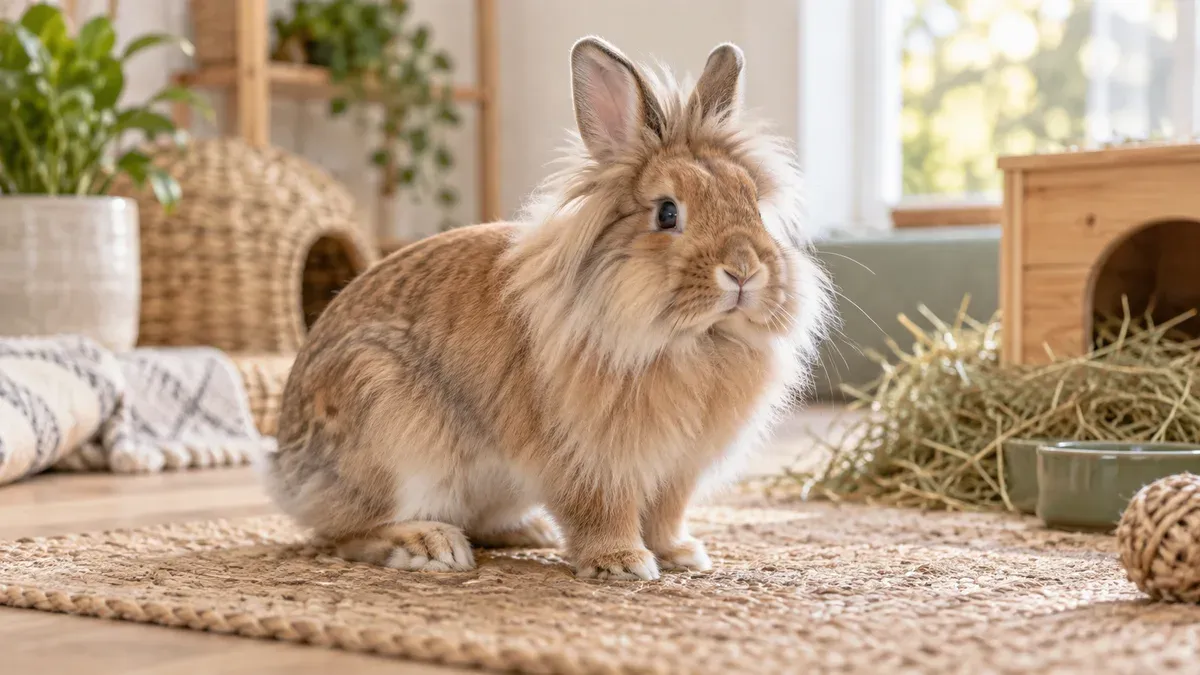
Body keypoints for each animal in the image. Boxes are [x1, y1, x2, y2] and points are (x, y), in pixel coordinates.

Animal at [262, 36, 833, 581]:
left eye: (750, 200)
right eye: (668, 213)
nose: (744, 271)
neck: (688, 339)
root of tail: (287, 472)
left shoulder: (676, 470)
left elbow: (666, 514)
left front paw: (680, 555)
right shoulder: (591, 460)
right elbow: (603, 511)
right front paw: (622, 563)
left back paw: (527, 531)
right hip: (388, 427)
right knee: (347, 533)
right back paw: (430, 545)